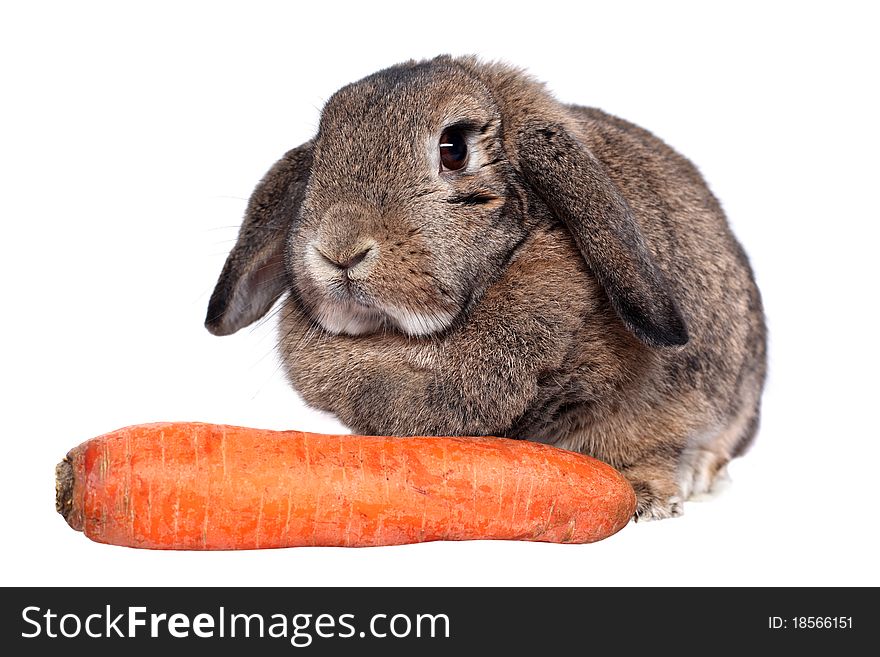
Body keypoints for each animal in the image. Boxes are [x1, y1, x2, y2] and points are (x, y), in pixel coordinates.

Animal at [205, 55, 764, 516]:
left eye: (454, 149)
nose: (338, 250)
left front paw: (645, 498)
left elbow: (646, 444)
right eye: (320, 155)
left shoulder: (659, 404)